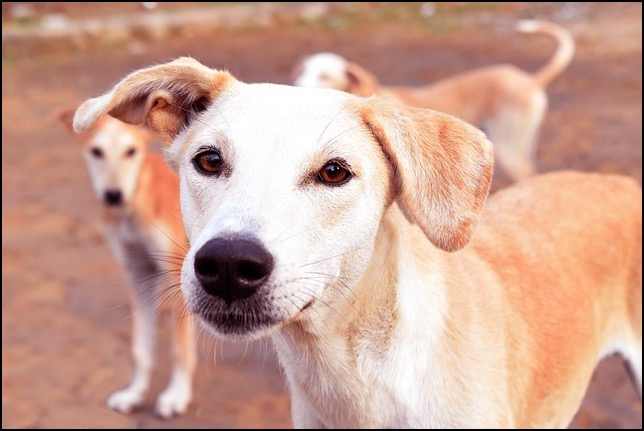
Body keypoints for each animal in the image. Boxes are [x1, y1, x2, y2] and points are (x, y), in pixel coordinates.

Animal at [60, 109, 196, 420]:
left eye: (131, 151)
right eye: (96, 151)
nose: (113, 195)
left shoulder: (178, 278)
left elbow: (179, 348)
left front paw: (176, 396)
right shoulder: (138, 275)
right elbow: (140, 349)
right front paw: (134, 394)